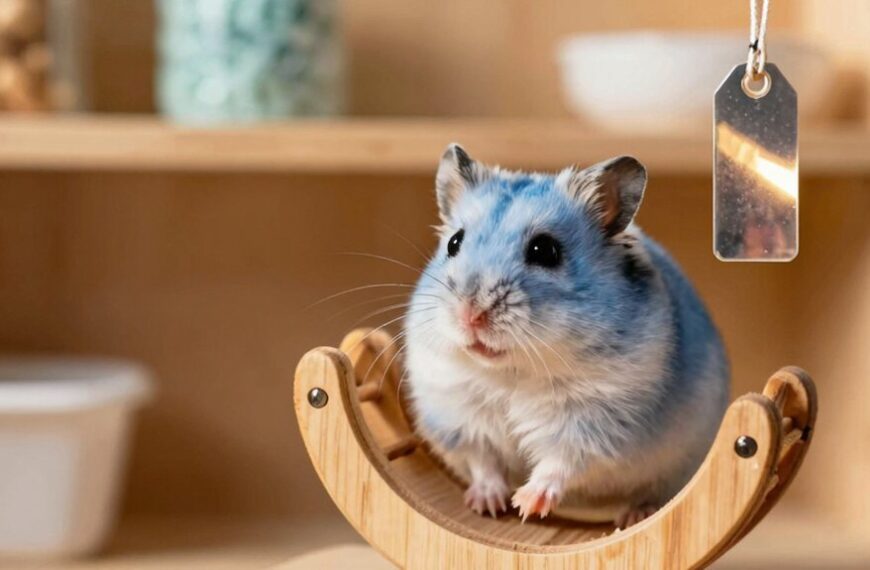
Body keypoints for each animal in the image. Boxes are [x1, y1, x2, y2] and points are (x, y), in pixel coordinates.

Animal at [403, 144, 729, 528]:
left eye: (545, 250)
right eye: (454, 243)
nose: (470, 315)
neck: (512, 370)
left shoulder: (594, 421)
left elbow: (559, 463)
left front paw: (525, 504)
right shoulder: (459, 412)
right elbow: (483, 461)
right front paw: (489, 504)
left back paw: (635, 515)